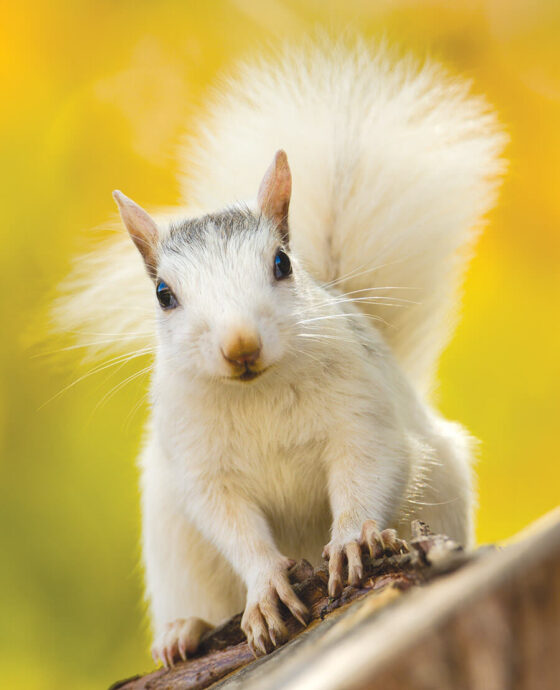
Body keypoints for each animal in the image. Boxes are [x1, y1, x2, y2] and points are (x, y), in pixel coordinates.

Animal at [52, 40, 506, 665]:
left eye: (282, 264)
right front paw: (266, 588)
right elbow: (232, 523)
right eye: (164, 295)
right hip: (173, 546)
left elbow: (367, 470)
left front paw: (354, 539)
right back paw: (183, 631)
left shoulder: (362, 417)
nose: (240, 345)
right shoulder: (201, 465)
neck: (257, 391)